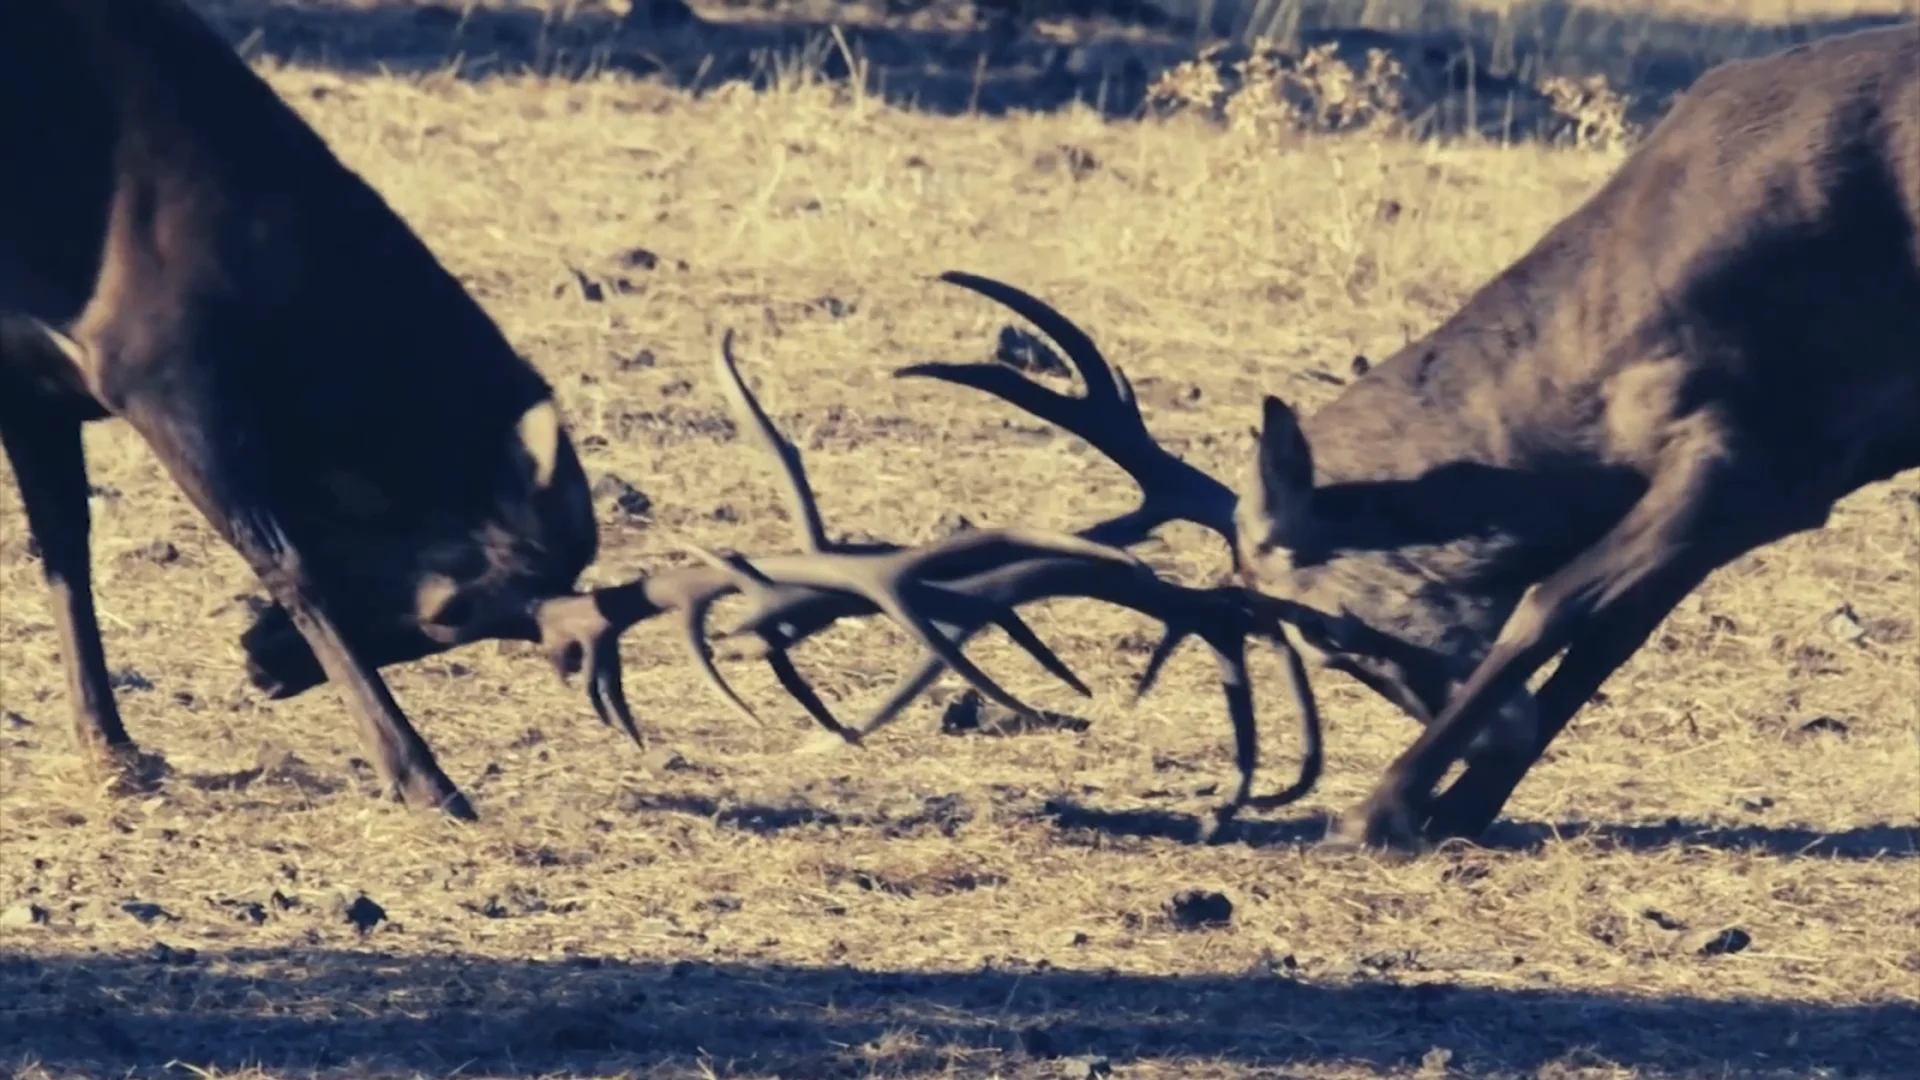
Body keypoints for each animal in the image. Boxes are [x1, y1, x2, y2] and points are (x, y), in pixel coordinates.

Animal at [871, 23, 1920, 849]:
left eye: (1329, 629)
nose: (1495, 734)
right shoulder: (1753, 484)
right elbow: (1610, 634)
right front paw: (1460, 808)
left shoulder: (1763, 450)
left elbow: (1553, 604)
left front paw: (1377, 811)